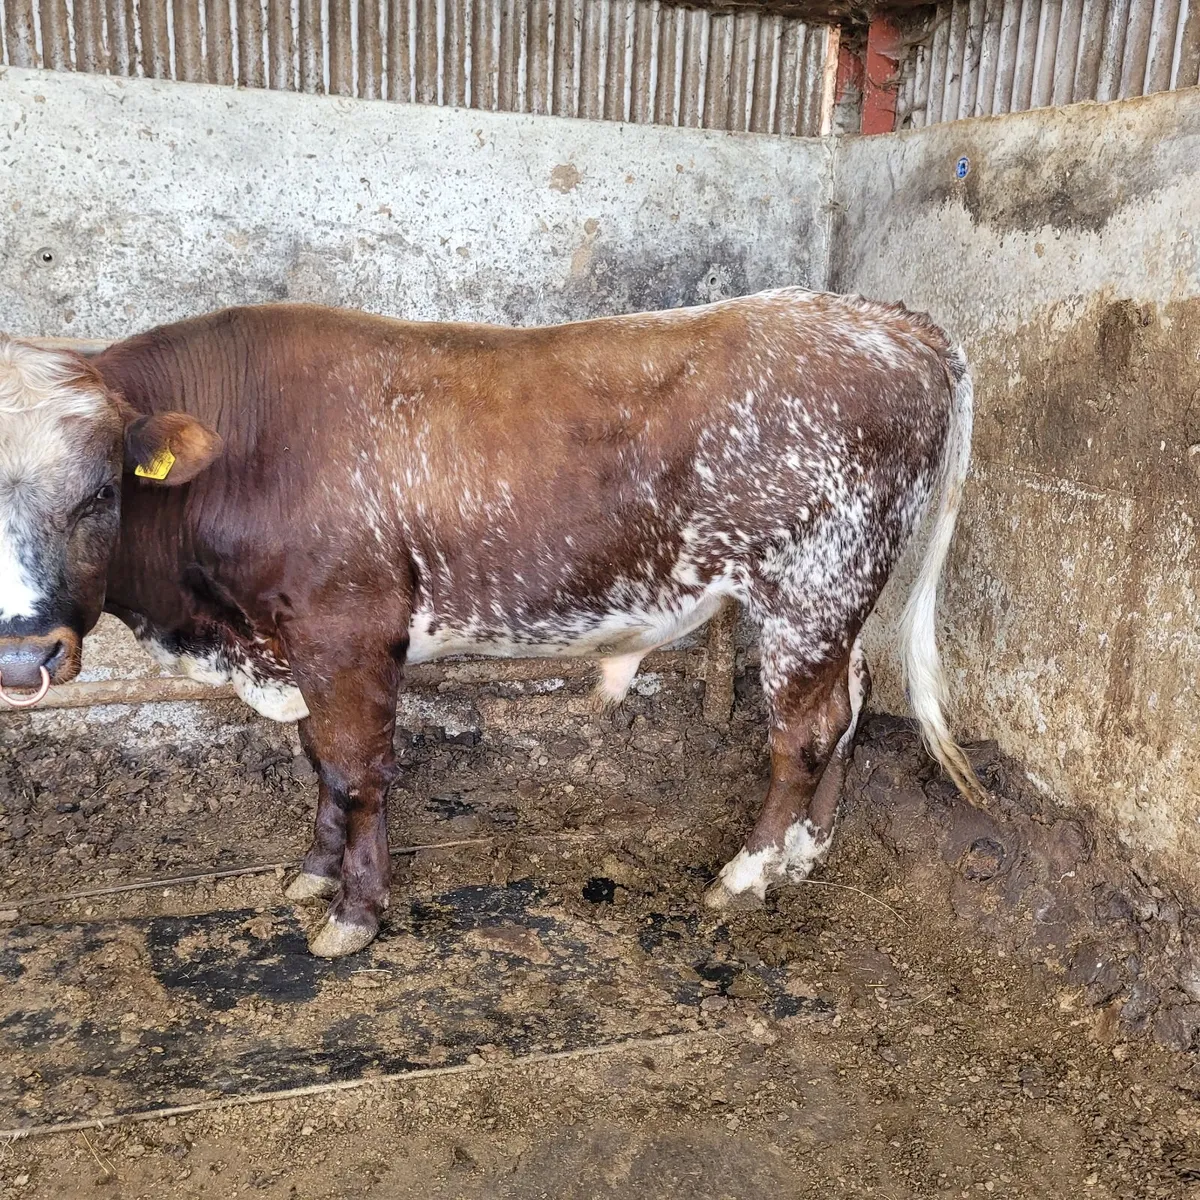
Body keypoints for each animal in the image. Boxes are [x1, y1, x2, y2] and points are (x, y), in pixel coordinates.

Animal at [0, 289, 984, 956]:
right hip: (837, 599)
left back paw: (746, 872)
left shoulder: (348, 633)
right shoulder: (294, 646)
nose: (23, 656)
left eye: (99, 492)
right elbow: (318, 760)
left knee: (802, 732)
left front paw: (355, 912)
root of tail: (887, 319)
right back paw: (806, 854)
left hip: (813, 586)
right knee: (848, 702)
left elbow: (357, 771)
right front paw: (313, 873)